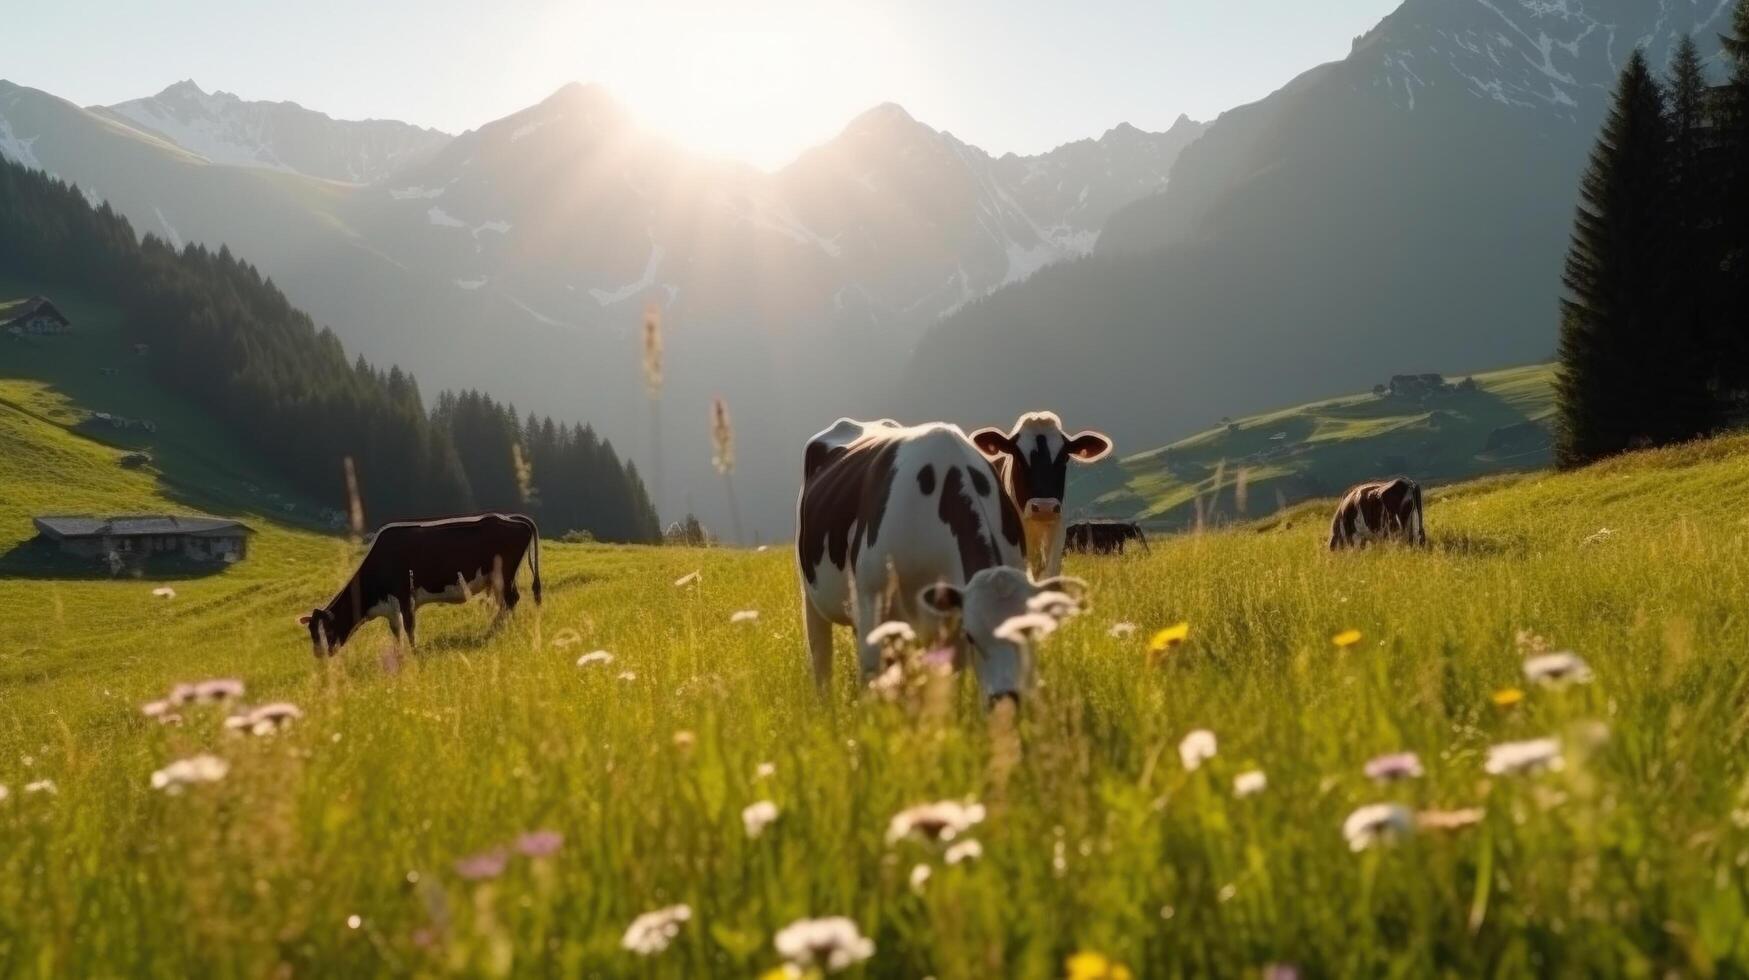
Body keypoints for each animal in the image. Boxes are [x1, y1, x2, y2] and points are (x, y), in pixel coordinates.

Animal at [299, 507, 538, 654]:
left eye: (327, 631)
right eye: (311, 633)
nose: (319, 656)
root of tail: (510, 517)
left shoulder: (406, 595)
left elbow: (409, 627)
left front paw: (414, 652)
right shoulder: (391, 607)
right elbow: (396, 631)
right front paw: (400, 654)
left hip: (504, 575)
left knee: (510, 600)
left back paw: (492, 632)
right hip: (500, 579)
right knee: (508, 602)